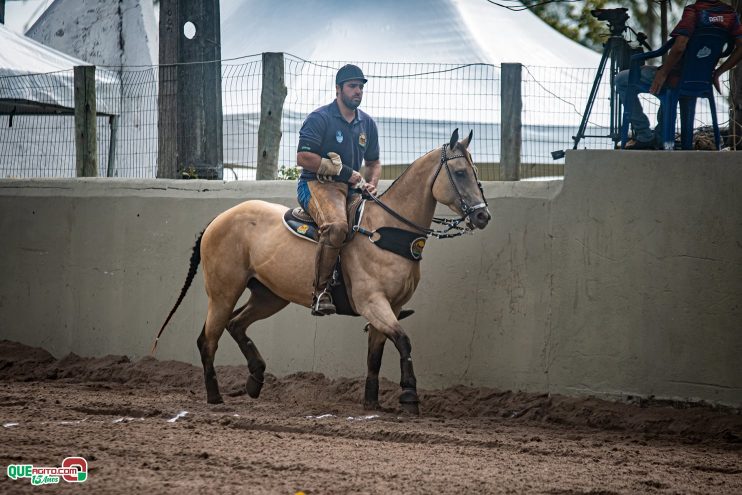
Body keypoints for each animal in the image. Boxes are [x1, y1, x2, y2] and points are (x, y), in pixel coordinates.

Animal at [155, 130, 492, 416]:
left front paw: (372, 403)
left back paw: (255, 380)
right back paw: (215, 397)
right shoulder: (373, 302)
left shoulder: (391, 307)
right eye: (460, 173)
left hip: (269, 296)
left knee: (236, 325)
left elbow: (376, 353)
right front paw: (409, 396)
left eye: (475, 172)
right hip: (223, 292)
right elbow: (403, 340)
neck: (385, 230)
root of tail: (216, 221)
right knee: (208, 339)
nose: (483, 216)